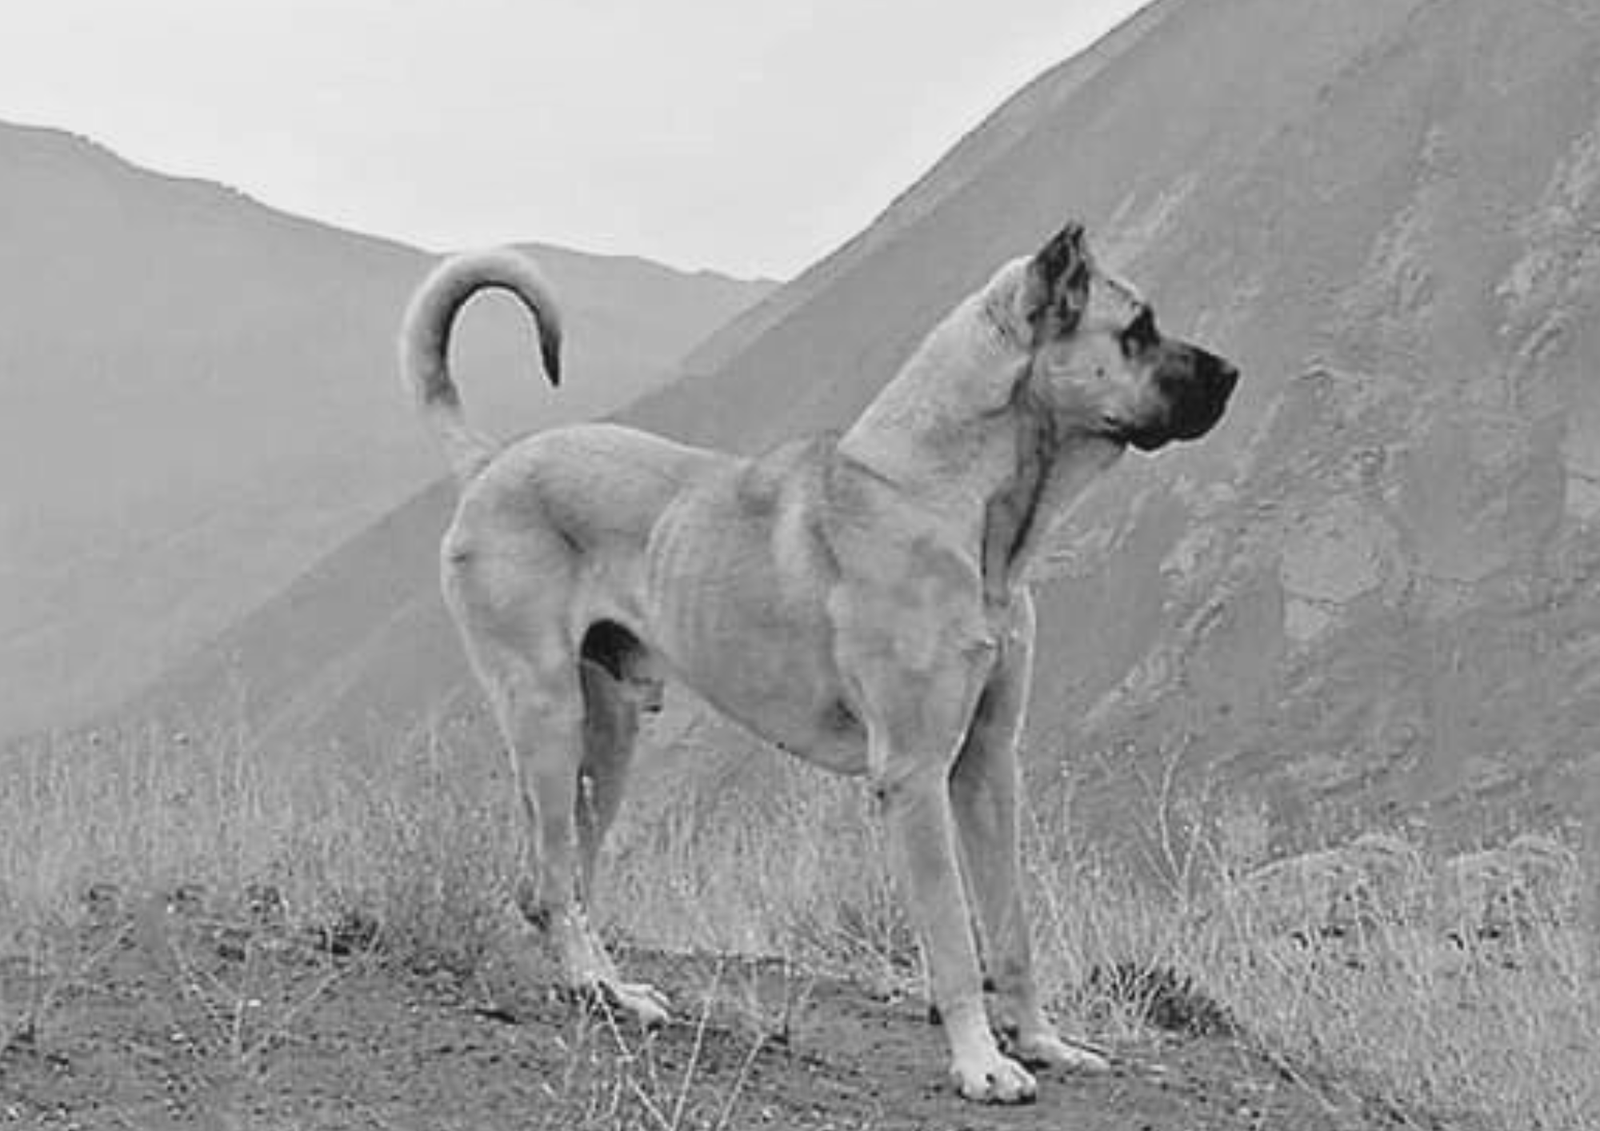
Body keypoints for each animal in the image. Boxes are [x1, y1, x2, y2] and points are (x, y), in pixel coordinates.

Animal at [399, 223, 1236, 1103]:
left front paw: (1041, 1041)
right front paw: (980, 1062)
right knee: (553, 880)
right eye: (1136, 329)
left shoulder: (987, 767)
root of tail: (489, 462)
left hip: (612, 732)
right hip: (549, 718)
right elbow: (953, 937)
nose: (1233, 374)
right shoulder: (915, 776)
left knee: (566, 882)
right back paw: (597, 989)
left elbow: (1011, 926)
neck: (957, 504)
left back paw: (610, 989)